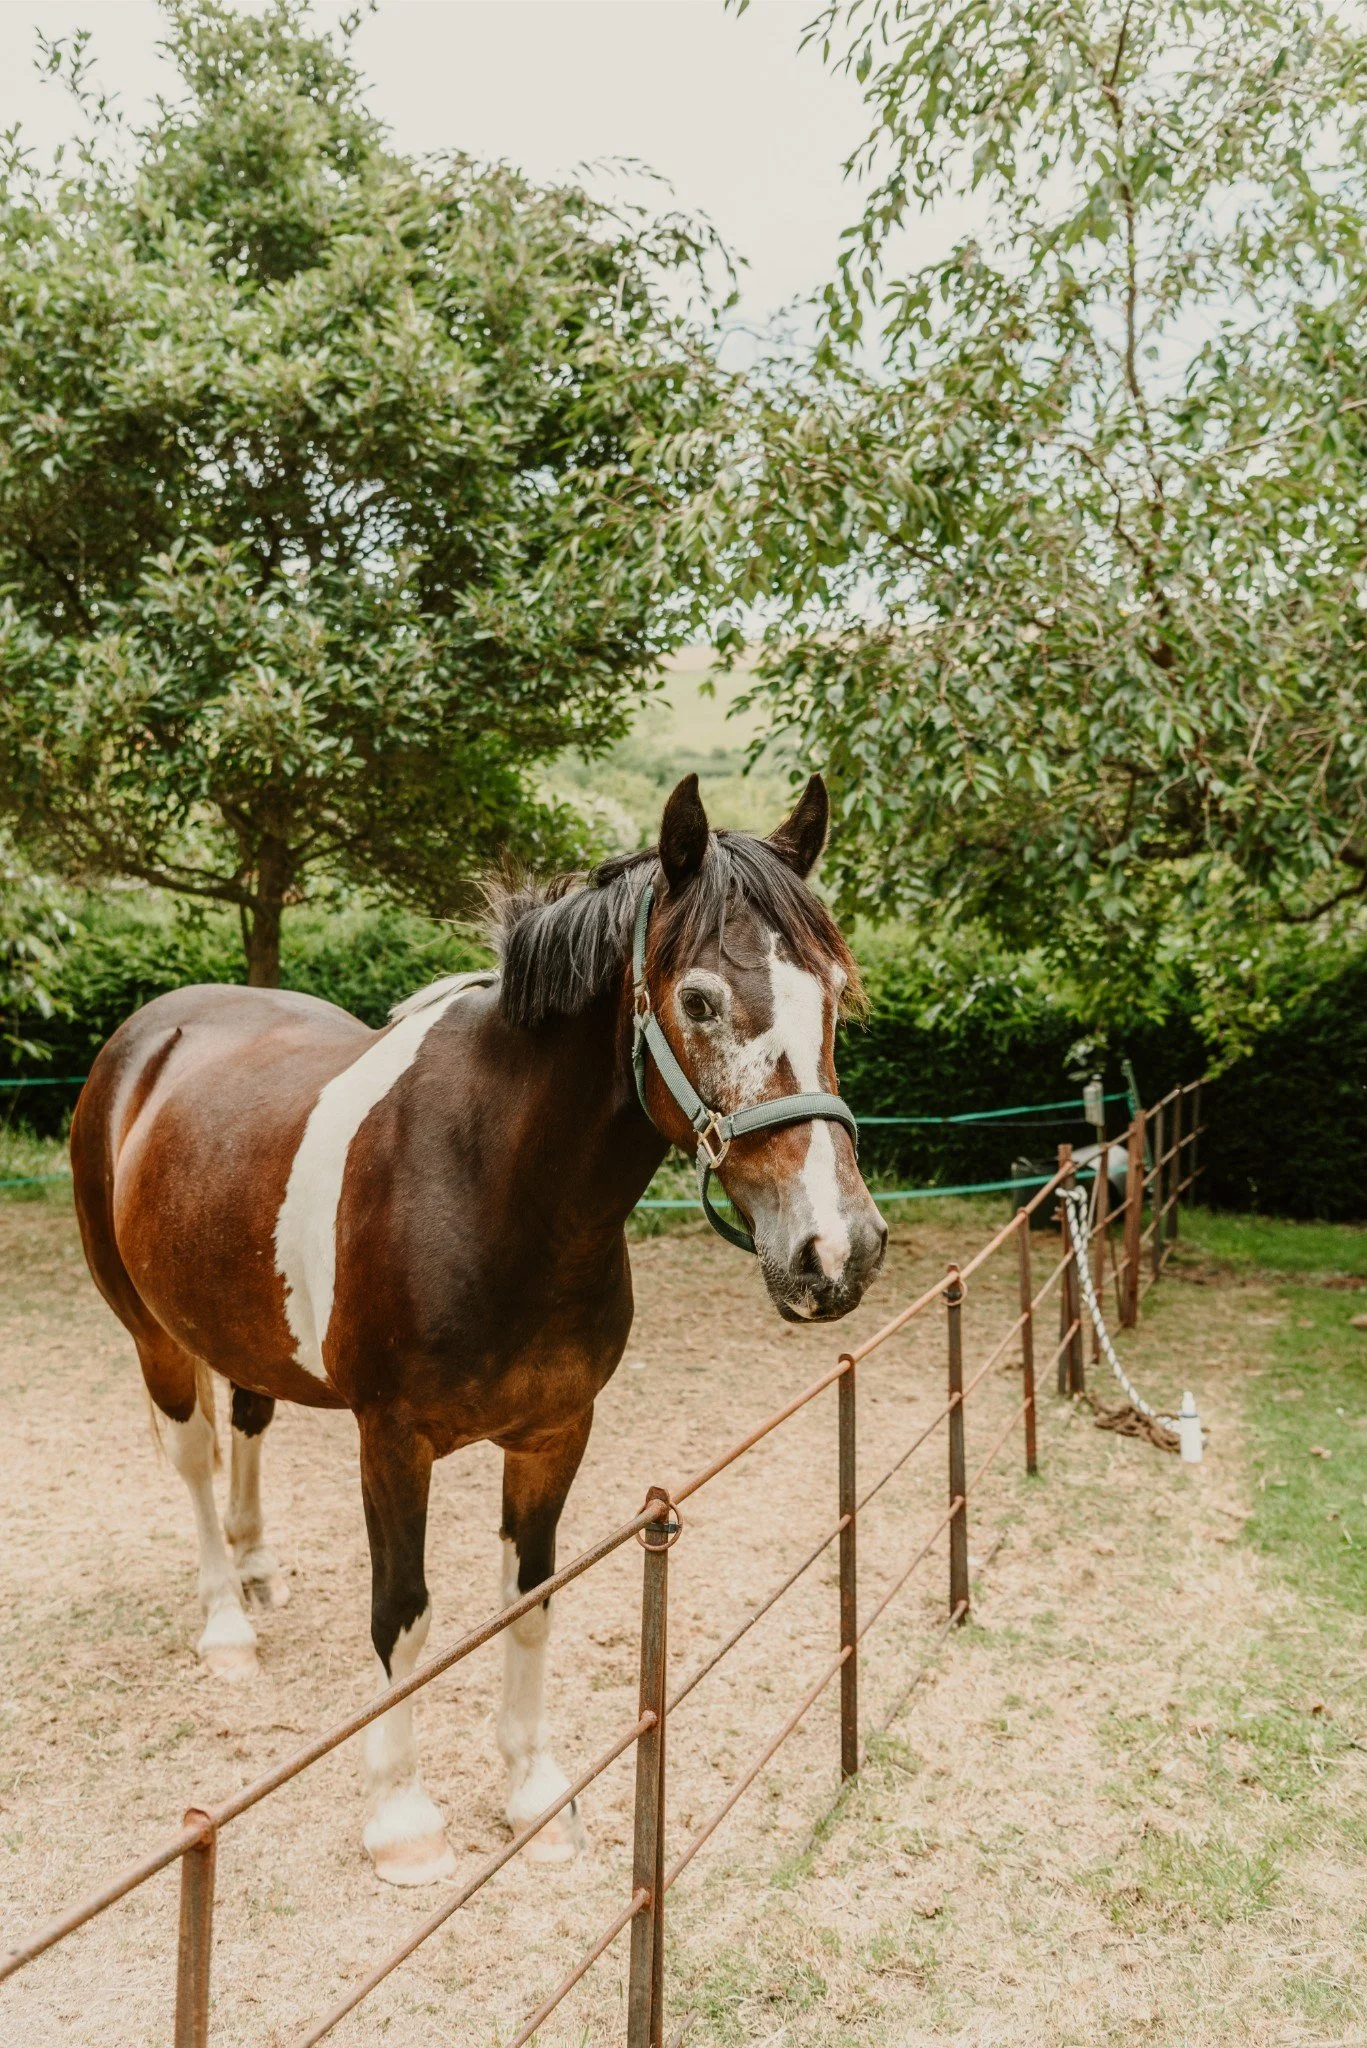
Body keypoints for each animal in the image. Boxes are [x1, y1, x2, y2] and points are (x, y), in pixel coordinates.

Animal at [70, 772, 887, 1885]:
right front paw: (402, 1820)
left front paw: (535, 1795)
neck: (493, 1186)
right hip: (151, 1333)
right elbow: (404, 1614)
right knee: (195, 1458)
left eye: (835, 994)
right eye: (699, 999)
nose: (835, 1249)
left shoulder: (553, 1433)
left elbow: (530, 1598)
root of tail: (148, 1036)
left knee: (247, 1420)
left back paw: (255, 1566)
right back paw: (227, 1623)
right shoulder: (391, 1440)